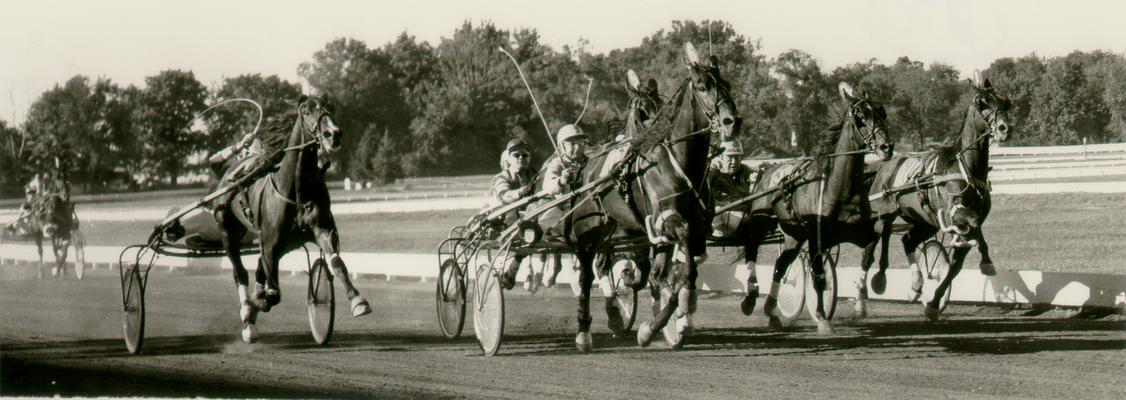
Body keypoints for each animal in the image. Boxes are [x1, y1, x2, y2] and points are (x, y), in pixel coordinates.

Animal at [209, 95, 371, 342]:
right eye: (306, 111)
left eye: (330, 109)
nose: (333, 134)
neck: (296, 191)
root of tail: (231, 169)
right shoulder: (270, 242)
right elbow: (273, 293)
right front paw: (259, 302)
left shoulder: (321, 230)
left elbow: (337, 263)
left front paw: (357, 301)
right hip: (227, 229)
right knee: (240, 271)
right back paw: (248, 315)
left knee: (259, 266)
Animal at [556, 43, 734, 351]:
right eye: (702, 86)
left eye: (728, 86)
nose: (731, 121)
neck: (679, 162)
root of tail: (584, 168)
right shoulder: (670, 222)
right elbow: (682, 270)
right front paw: (665, 321)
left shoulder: (694, 230)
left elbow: (678, 273)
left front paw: (667, 324)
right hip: (586, 230)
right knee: (586, 274)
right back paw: (583, 332)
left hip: (619, 230)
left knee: (615, 267)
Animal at [747, 82, 896, 333]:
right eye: (860, 117)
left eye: (882, 112)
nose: (887, 147)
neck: (838, 188)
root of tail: (768, 170)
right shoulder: (816, 238)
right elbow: (818, 277)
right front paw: (822, 318)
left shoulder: (858, 231)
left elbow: (875, 242)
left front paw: (874, 286)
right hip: (764, 222)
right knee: (752, 249)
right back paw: (750, 298)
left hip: (793, 234)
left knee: (781, 263)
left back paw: (771, 311)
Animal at [855, 70, 1017, 320]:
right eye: (982, 103)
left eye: (1003, 101)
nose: (1004, 129)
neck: (964, 168)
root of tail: (883, 166)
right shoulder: (953, 212)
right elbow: (971, 223)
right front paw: (984, 259)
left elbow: (956, 265)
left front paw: (933, 302)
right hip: (883, 214)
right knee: (873, 246)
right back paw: (867, 292)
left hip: (924, 222)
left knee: (907, 241)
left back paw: (915, 285)